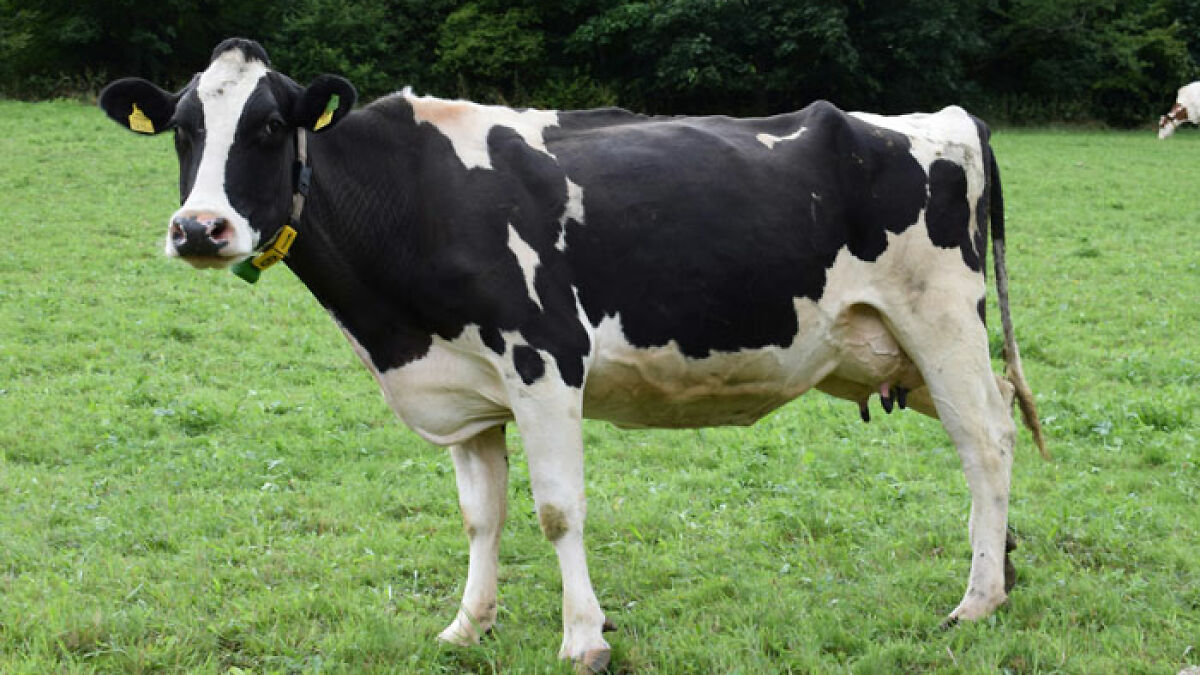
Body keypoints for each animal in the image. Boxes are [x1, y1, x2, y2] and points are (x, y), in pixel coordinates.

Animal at [99, 38, 1046, 671]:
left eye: (267, 126)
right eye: (182, 129)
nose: (199, 229)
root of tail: (946, 117)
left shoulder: (544, 361)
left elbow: (557, 509)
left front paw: (583, 636)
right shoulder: (467, 391)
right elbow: (481, 515)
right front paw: (467, 624)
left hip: (941, 322)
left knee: (987, 443)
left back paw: (974, 600)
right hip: (899, 350)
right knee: (996, 425)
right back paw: (1001, 568)